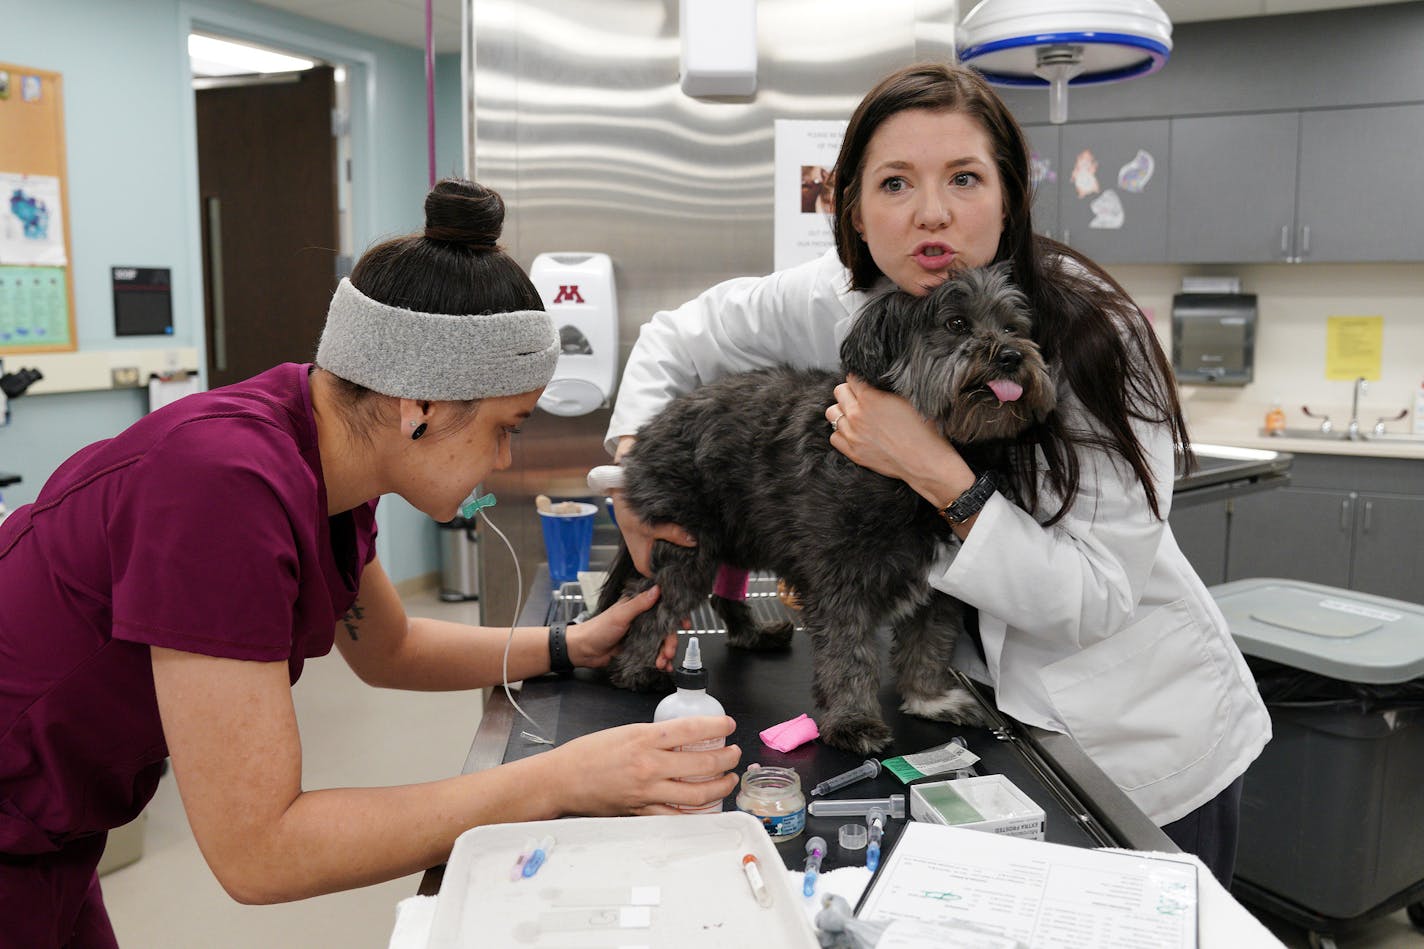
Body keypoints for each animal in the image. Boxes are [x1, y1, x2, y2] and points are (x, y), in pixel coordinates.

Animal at [592, 262, 1059, 752]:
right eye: (955, 324)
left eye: (1013, 327)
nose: (1011, 356)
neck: (910, 477)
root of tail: (649, 430)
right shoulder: (841, 578)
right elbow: (847, 652)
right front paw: (853, 719)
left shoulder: (941, 583)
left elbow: (928, 642)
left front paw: (930, 699)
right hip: (687, 544)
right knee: (649, 603)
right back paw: (636, 670)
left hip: (738, 531)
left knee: (720, 591)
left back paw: (750, 633)